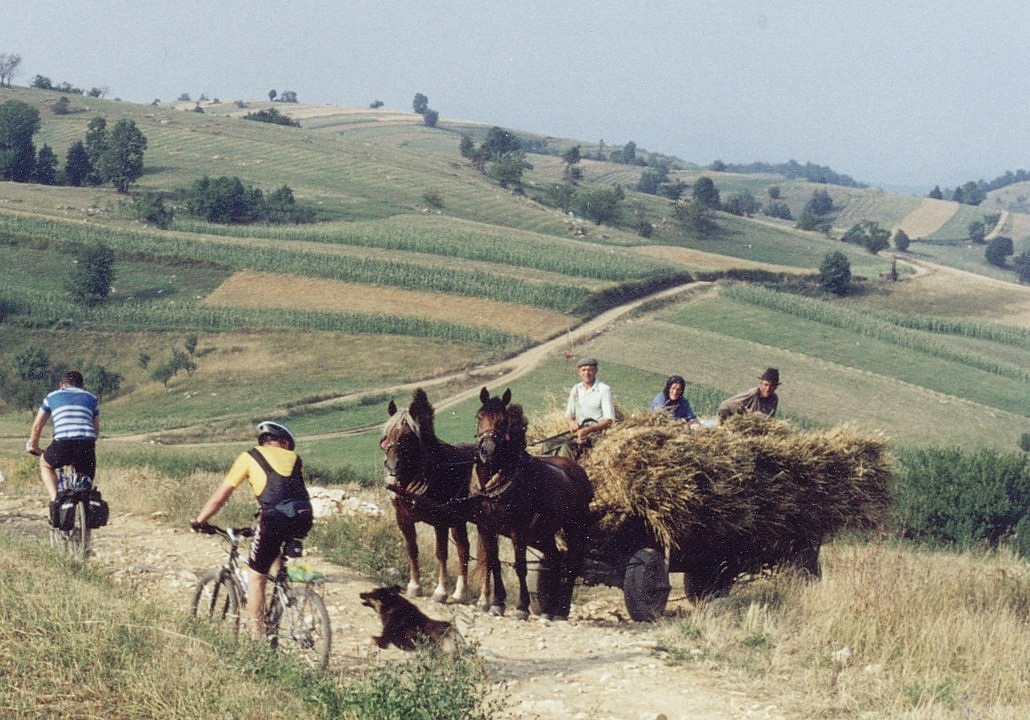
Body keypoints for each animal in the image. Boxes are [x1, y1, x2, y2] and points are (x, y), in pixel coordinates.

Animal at [379, 389, 473, 601]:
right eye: (387, 435)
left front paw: (440, 591)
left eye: (407, 436)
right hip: (459, 520)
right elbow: (412, 549)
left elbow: (441, 553)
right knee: (463, 548)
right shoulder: (403, 519)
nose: (392, 466)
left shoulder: (440, 521)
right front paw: (414, 586)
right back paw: (460, 593)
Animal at [469, 389, 593, 618]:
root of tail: (577, 470)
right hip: (544, 532)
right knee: (555, 561)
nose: (487, 450)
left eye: (503, 420)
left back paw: (561, 611)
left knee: (572, 563)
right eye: (479, 416)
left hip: (575, 526)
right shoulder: (486, 527)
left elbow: (520, 567)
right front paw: (497, 603)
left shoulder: (518, 530)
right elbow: (494, 563)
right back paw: (549, 610)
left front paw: (521, 607)